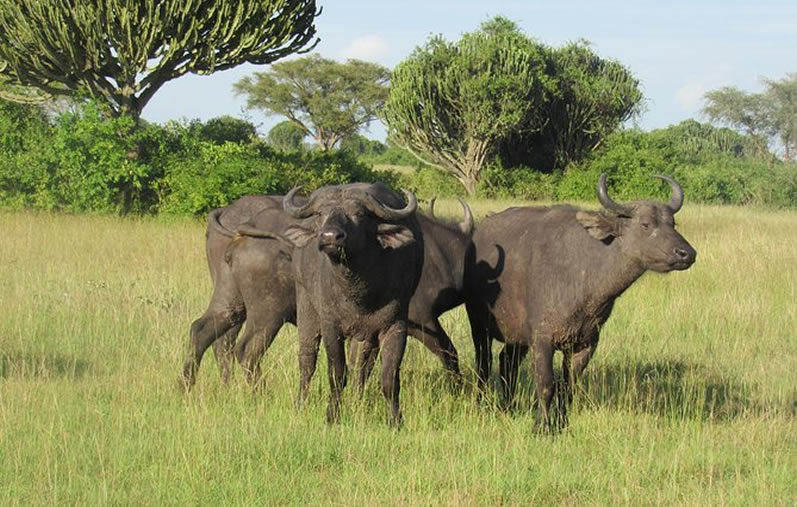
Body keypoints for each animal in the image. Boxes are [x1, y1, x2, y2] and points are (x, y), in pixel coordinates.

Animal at [464, 173, 692, 430]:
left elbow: (568, 387)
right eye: (645, 224)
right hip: (478, 325)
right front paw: (541, 426)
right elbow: (546, 384)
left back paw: (508, 406)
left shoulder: (586, 344)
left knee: (506, 362)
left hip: (516, 335)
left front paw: (562, 423)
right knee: (484, 363)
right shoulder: (542, 340)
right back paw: (483, 403)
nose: (687, 253)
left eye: (672, 223)